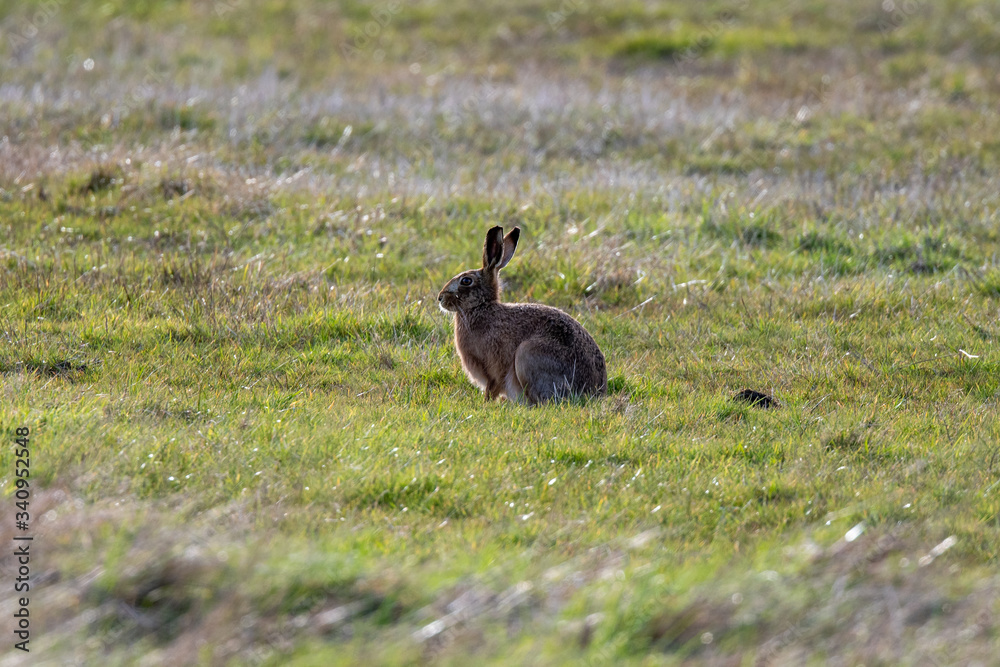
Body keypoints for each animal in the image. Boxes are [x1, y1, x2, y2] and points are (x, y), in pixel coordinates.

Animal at [438, 225, 607, 405]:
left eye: (466, 281)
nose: (440, 298)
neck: (481, 306)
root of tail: (594, 392)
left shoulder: (494, 368)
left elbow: (492, 387)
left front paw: (485, 404)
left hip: (526, 355)